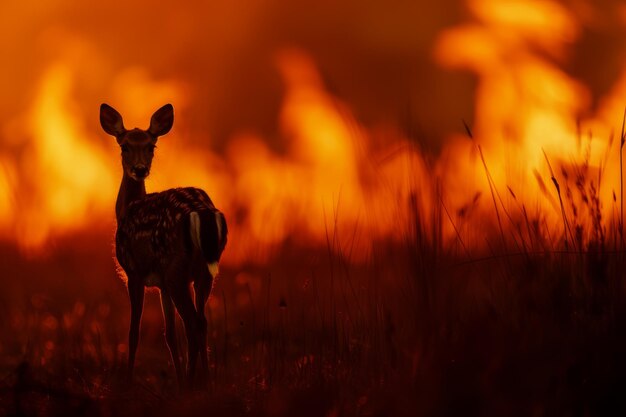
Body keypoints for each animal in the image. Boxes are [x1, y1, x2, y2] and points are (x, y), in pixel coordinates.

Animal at [96, 101, 225, 386]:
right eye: (124, 146)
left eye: (151, 146)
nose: (140, 169)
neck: (125, 210)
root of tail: (200, 211)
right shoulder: (162, 282)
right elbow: (169, 334)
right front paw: (176, 378)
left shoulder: (134, 272)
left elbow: (134, 331)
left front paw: (128, 381)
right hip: (203, 272)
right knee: (201, 321)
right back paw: (204, 382)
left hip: (177, 269)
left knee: (193, 322)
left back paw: (193, 382)